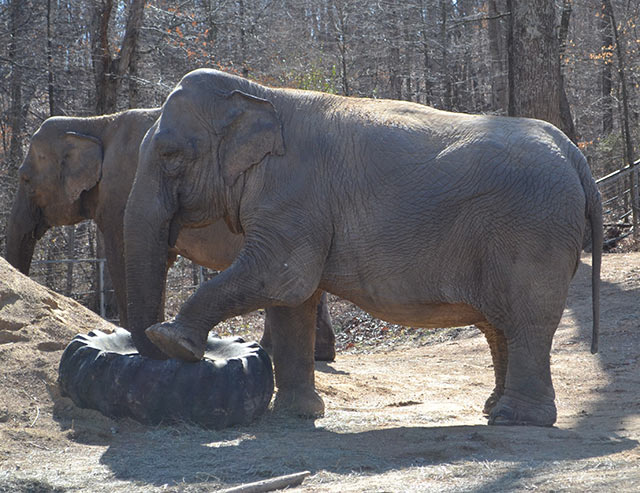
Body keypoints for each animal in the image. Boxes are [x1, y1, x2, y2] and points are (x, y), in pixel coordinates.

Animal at [125, 69, 600, 426]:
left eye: (170, 154)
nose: (145, 355)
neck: (261, 94)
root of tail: (574, 154)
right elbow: (291, 301)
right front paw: (299, 416)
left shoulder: (293, 195)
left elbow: (281, 279)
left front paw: (171, 342)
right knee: (498, 325)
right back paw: (493, 410)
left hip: (534, 230)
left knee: (526, 320)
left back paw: (516, 420)